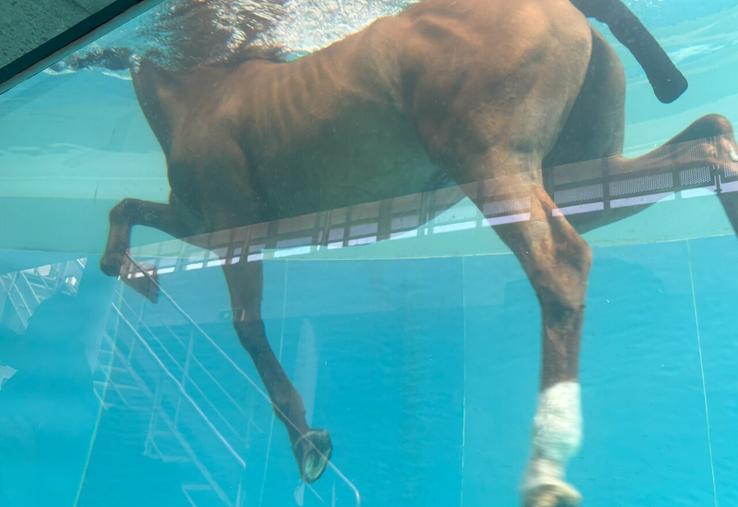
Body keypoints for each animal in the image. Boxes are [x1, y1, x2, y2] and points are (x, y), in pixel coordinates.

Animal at [76, 0, 738, 504]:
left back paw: (545, 469)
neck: (197, 95)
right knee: (709, 137)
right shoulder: (203, 225)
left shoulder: (235, 228)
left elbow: (248, 328)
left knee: (561, 263)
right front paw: (138, 277)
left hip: (490, 164)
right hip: (579, 177)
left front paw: (309, 445)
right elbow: (123, 213)